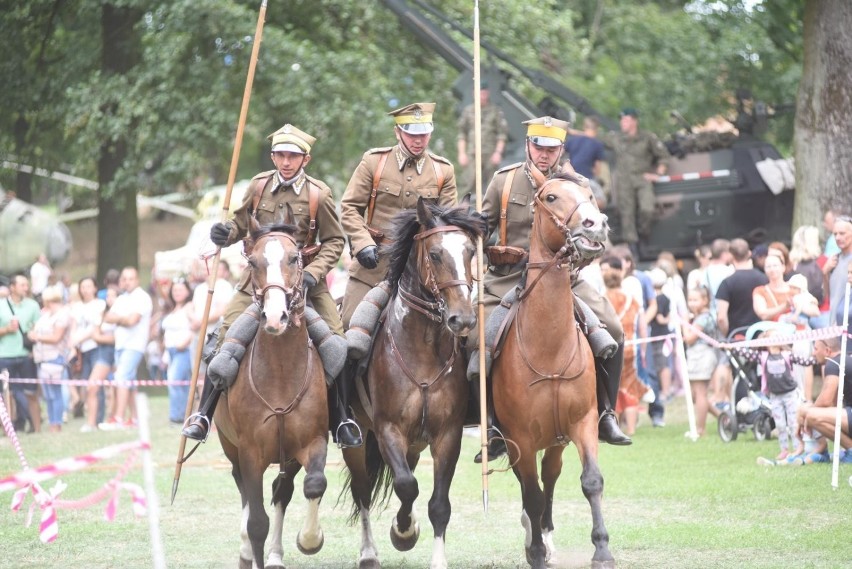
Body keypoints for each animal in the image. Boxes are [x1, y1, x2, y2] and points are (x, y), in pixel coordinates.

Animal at [215, 214, 328, 568]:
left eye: (295, 258)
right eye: (252, 262)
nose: (276, 317)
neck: (280, 373)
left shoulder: (314, 441)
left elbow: (315, 483)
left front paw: (310, 539)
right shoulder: (250, 453)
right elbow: (256, 522)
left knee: (282, 489)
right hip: (231, 448)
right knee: (245, 493)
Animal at [342, 196, 486, 568]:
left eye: (470, 252)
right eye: (435, 254)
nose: (463, 319)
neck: (423, 348)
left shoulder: (447, 435)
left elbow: (438, 503)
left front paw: (426, 546)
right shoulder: (388, 429)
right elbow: (406, 485)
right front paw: (403, 532)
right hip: (357, 439)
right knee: (362, 490)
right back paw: (367, 551)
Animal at [490, 175, 616, 564]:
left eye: (589, 194)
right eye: (550, 197)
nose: (596, 224)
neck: (549, 347)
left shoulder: (584, 421)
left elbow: (592, 481)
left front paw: (602, 549)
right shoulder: (521, 438)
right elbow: (529, 492)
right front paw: (534, 552)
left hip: (558, 439)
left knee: (551, 474)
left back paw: (545, 532)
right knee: (529, 484)